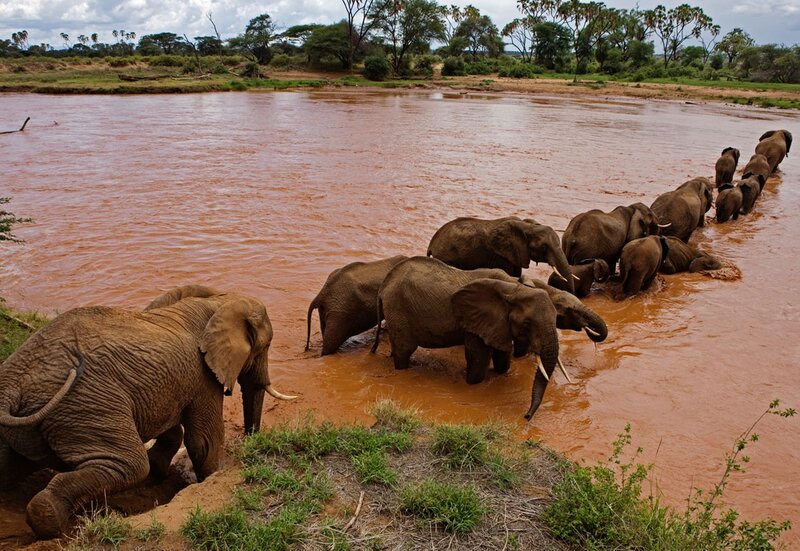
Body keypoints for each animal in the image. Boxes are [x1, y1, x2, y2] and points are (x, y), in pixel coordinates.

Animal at [0, 285, 295, 538]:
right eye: (265, 347)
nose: (250, 440)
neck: (219, 300)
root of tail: (12, 386)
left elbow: (173, 429)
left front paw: (160, 473)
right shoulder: (202, 377)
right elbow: (204, 442)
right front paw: (209, 479)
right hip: (85, 404)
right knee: (130, 463)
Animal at [427, 216, 575, 293]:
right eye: (543, 247)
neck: (527, 226)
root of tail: (432, 242)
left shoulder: (514, 254)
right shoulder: (501, 256)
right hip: (447, 257)